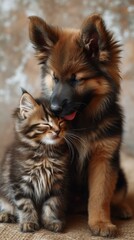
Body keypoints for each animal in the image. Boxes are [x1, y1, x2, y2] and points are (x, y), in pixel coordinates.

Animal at [0, 90, 69, 232]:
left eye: (61, 121)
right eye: (46, 124)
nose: (58, 131)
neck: (45, 153)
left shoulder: (57, 184)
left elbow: (52, 204)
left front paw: (51, 221)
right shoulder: (19, 182)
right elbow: (25, 205)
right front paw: (28, 222)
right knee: (7, 204)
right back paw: (6, 214)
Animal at [28, 14, 132, 237]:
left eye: (76, 79)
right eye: (55, 78)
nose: (55, 108)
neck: (82, 123)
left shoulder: (103, 159)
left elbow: (101, 196)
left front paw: (100, 222)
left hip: (119, 175)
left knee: (116, 195)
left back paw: (122, 208)